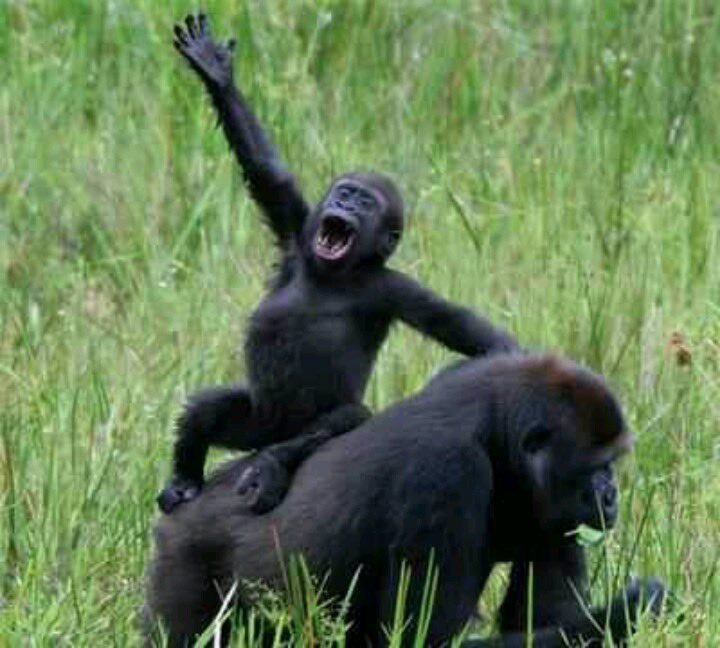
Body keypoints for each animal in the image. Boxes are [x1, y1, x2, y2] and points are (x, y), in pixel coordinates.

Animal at [145, 352, 670, 647]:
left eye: (612, 462)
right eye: (595, 467)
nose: (610, 496)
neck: (496, 431)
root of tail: (192, 499)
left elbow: (545, 618)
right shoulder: (445, 472)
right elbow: (427, 638)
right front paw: (636, 609)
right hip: (185, 558)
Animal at [157, 14, 518, 515]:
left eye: (365, 203)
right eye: (345, 192)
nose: (345, 203)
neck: (334, 272)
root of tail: (272, 433)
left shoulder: (394, 288)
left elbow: (476, 338)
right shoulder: (296, 231)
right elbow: (268, 172)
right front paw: (217, 74)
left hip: (290, 429)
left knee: (345, 417)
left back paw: (273, 464)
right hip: (256, 421)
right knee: (207, 409)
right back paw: (187, 477)